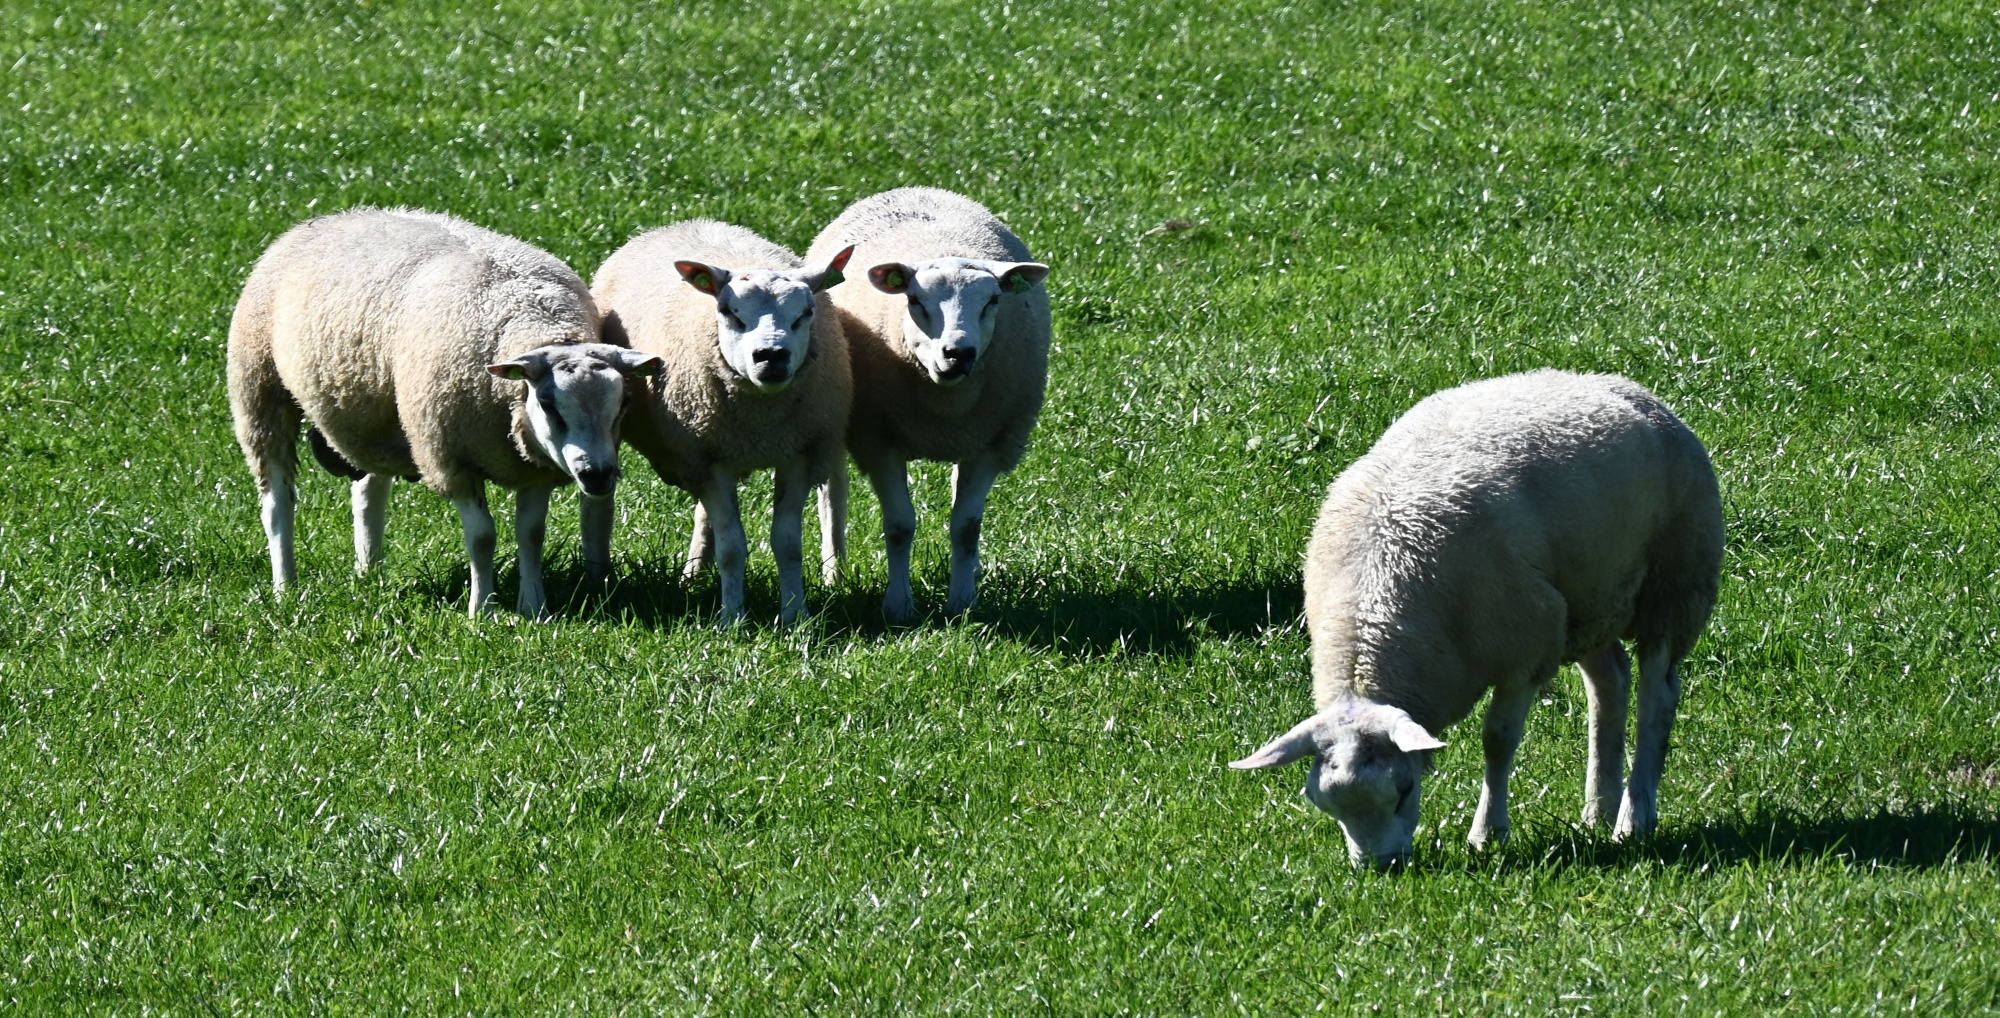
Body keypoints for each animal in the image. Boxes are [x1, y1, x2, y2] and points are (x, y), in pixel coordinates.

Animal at [227, 208, 664, 612]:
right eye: (546, 403)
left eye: (624, 403)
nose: (598, 475)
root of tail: (333, 215)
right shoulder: (453, 460)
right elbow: (483, 537)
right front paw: (483, 609)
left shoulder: (535, 465)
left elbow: (531, 534)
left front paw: (534, 607)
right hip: (260, 390)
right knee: (277, 501)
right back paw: (286, 588)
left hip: (380, 418)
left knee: (369, 489)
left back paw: (370, 571)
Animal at [584, 218, 852, 624]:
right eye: (729, 312)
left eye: (805, 313)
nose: (771, 356)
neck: (761, 420)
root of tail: (687, 221)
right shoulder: (708, 460)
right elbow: (732, 547)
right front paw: (732, 619)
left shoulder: (799, 453)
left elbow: (787, 543)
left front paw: (795, 616)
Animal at [804, 188, 1056, 624]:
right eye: (916, 300)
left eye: (992, 300)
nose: (958, 353)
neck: (944, 404)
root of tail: (915, 189)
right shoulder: (878, 441)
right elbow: (899, 525)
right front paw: (898, 607)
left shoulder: (991, 444)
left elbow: (966, 527)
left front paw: (962, 604)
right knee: (833, 495)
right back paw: (834, 573)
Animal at [1232, 370, 1720, 868]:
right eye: (1322, 803)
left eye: (1404, 791)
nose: (1380, 868)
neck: (1377, 601)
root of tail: (1617, 383)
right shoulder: (1547, 624)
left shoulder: (1526, 648)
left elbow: (1497, 740)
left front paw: (1488, 834)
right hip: (1586, 602)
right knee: (1610, 683)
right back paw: (1597, 812)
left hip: (1676, 579)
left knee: (1657, 697)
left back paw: (1634, 819)